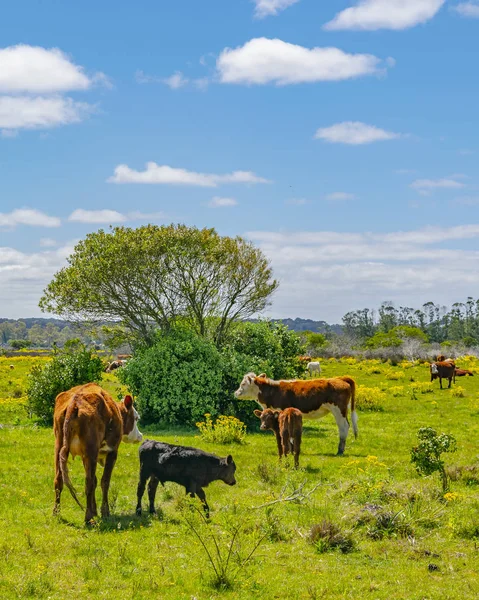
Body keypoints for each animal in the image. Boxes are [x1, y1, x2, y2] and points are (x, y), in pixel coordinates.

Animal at [53, 384, 142, 520]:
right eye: (136, 418)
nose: (140, 436)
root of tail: (74, 402)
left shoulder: (85, 456)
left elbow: (95, 480)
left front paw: (95, 510)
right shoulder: (112, 451)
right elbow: (104, 481)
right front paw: (105, 511)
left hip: (59, 447)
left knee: (59, 479)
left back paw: (56, 513)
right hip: (91, 449)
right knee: (88, 483)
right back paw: (88, 518)